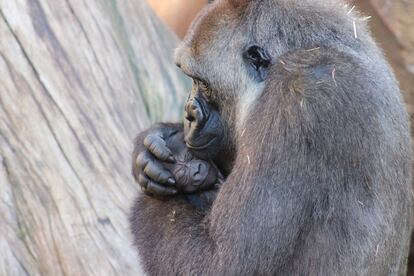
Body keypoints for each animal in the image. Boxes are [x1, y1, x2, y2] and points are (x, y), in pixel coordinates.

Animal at [129, 1, 410, 274]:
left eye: (202, 82)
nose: (188, 115)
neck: (304, 48)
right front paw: (153, 144)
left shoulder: (297, 98)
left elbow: (222, 262)